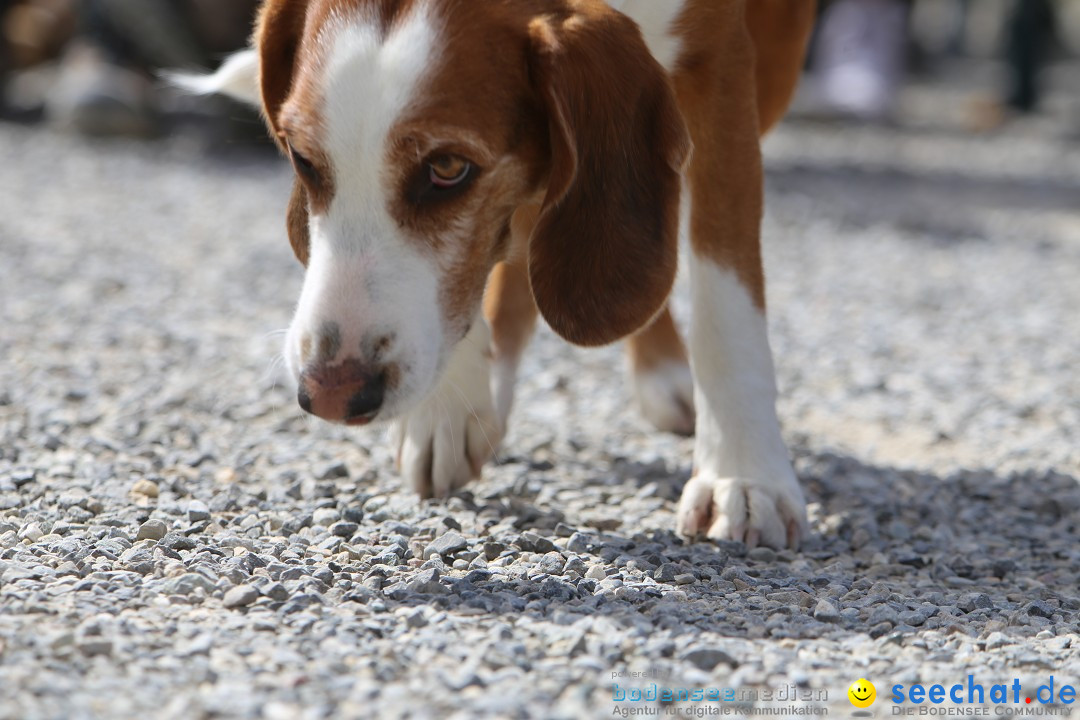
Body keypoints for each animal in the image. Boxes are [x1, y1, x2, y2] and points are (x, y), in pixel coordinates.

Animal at [181, 0, 812, 548]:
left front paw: (743, 476)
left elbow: (725, 290)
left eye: (447, 168)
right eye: (302, 159)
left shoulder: (723, 63)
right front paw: (448, 406)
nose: (330, 394)